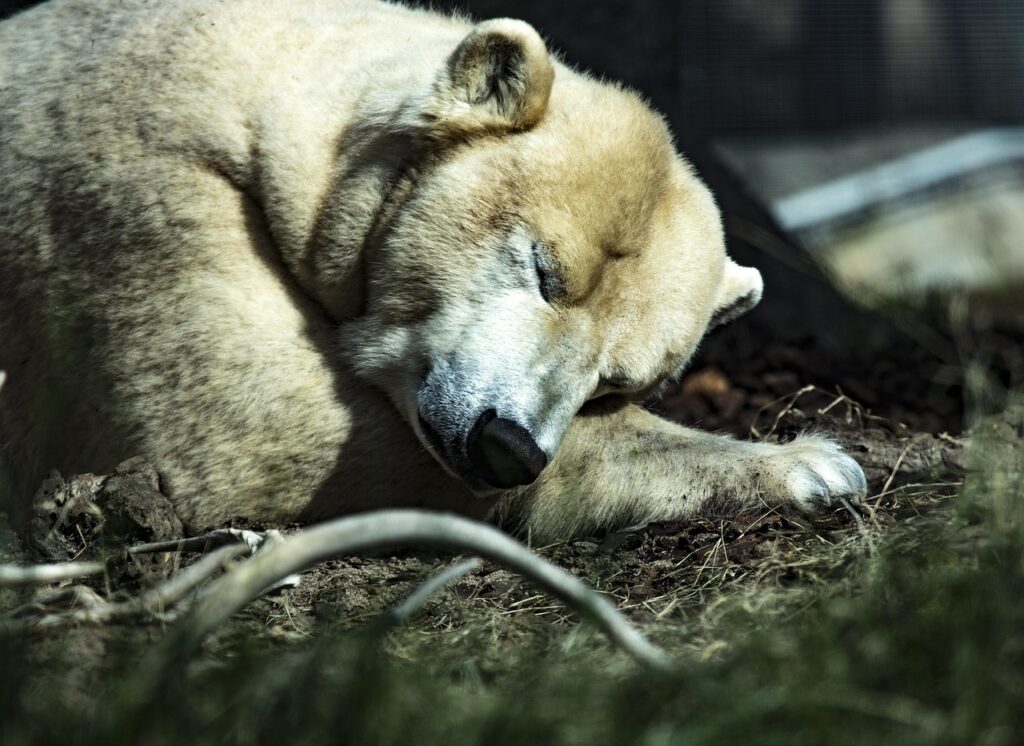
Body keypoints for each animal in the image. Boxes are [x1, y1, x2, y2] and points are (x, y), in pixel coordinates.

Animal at [0, 0, 866, 541]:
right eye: (544, 269)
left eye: (617, 379)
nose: (507, 444)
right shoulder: (142, 189)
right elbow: (244, 426)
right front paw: (810, 465)